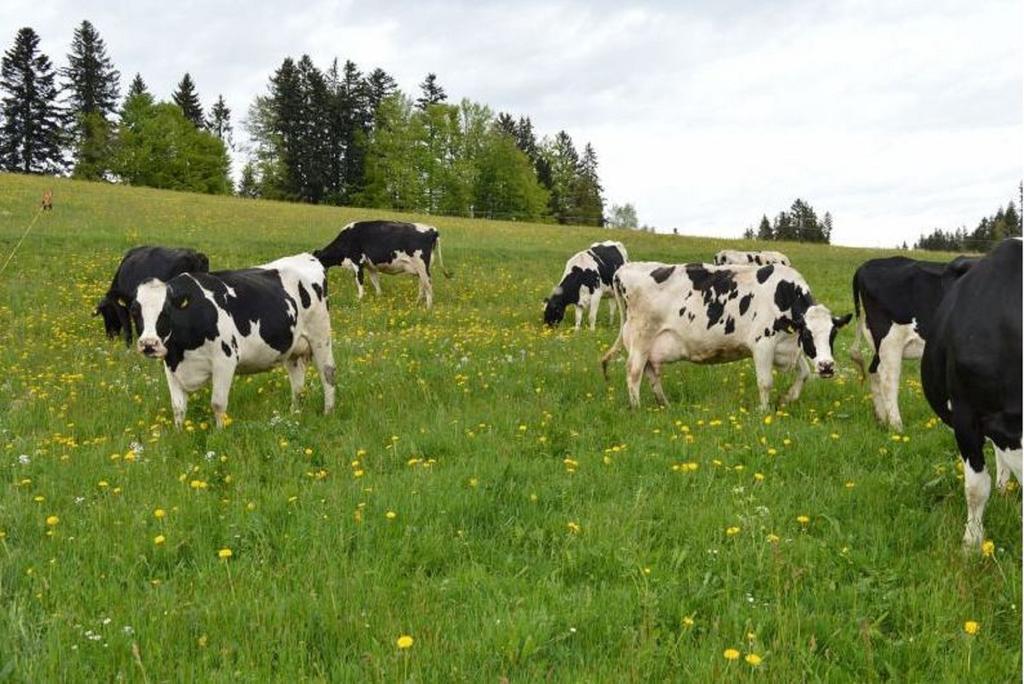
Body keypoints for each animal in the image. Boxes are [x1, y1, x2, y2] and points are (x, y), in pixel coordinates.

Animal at [313, 220, 450, 309]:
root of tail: (432, 229)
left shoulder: (357, 262)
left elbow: (359, 281)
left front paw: (359, 299)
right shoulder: (370, 266)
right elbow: (375, 281)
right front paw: (379, 297)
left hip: (423, 267)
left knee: (428, 286)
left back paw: (428, 308)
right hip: (420, 269)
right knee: (422, 285)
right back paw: (416, 303)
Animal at [602, 262, 851, 409]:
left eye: (832, 335)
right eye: (808, 335)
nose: (827, 366)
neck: (783, 295)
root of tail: (626, 268)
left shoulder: (787, 346)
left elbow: (804, 374)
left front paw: (787, 398)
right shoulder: (763, 344)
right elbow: (765, 383)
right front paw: (763, 411)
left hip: (650, 344)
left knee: (651, 372)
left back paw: (665, 405)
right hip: (641, 337)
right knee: (634, 372)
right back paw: (637, 408)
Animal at [847, 253, 974, 430]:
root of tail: (865, 266)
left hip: (879, 343)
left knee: (874, 371)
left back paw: (882, 419)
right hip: (890, 340)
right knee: (888, 378)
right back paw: (896, 426)